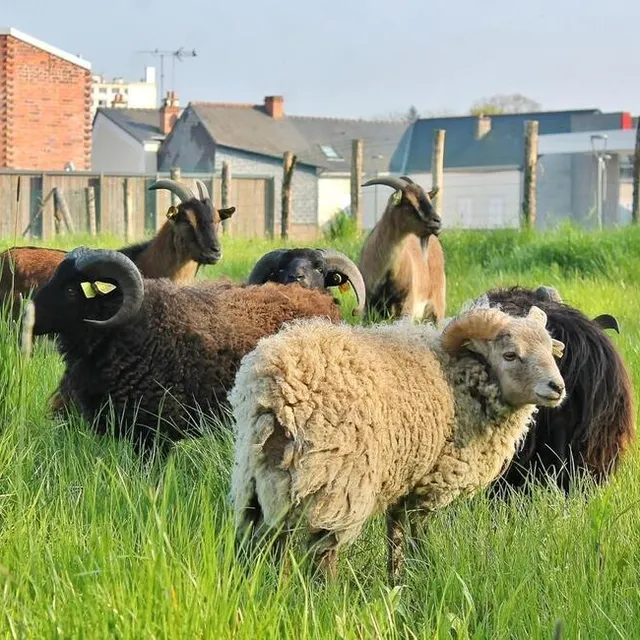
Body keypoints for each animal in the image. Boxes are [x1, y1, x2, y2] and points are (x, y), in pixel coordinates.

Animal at [229, 304, 566, 582]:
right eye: (510, 355)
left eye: (550, 351)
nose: (557, 387)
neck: (460, 382)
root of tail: (275, 392)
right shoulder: (429, 483)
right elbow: (418, 533)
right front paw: (423, 572)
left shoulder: (405, 477)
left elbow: (396, 533)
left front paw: (396, 579)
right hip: (337, 483)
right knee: (323, 553)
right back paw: (329, 599)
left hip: (259, 481)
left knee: (266, 542)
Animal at [359, 175, 445, 324]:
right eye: (408, 201)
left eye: (428, 199)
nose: (437, 221)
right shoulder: (368, 306)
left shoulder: (407, 303)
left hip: (437, 305)